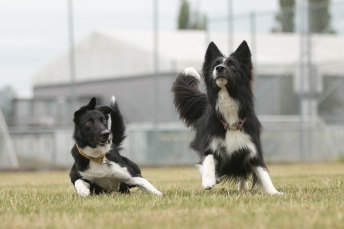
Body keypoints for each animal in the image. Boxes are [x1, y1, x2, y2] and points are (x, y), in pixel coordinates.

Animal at [172, 40, 282, 194]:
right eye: (215, 65)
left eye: (232, 65)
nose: (219, 68)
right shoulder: (209, 144)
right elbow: (208, 159)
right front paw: (208, 180)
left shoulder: (252, 149)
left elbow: (263, 173)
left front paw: (274, 192)